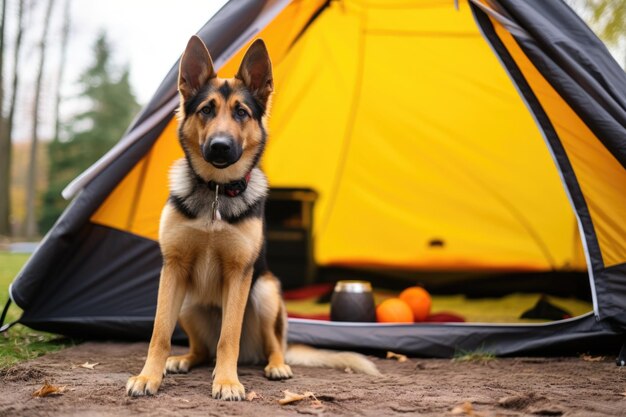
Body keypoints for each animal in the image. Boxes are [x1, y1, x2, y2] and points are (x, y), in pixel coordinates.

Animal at [124, 38, 372, 400]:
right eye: (206, 110)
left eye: (241, 112)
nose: (220, 147)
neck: (216, 190)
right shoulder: (173, 269)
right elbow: (159, 334)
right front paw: (148, 376)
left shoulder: (240, 273)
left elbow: (229, 336)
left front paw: (227, 381)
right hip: (187, 303)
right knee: (202, 350)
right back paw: (184, 360)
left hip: (265, 293)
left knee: (270, 345)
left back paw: (276, 366)